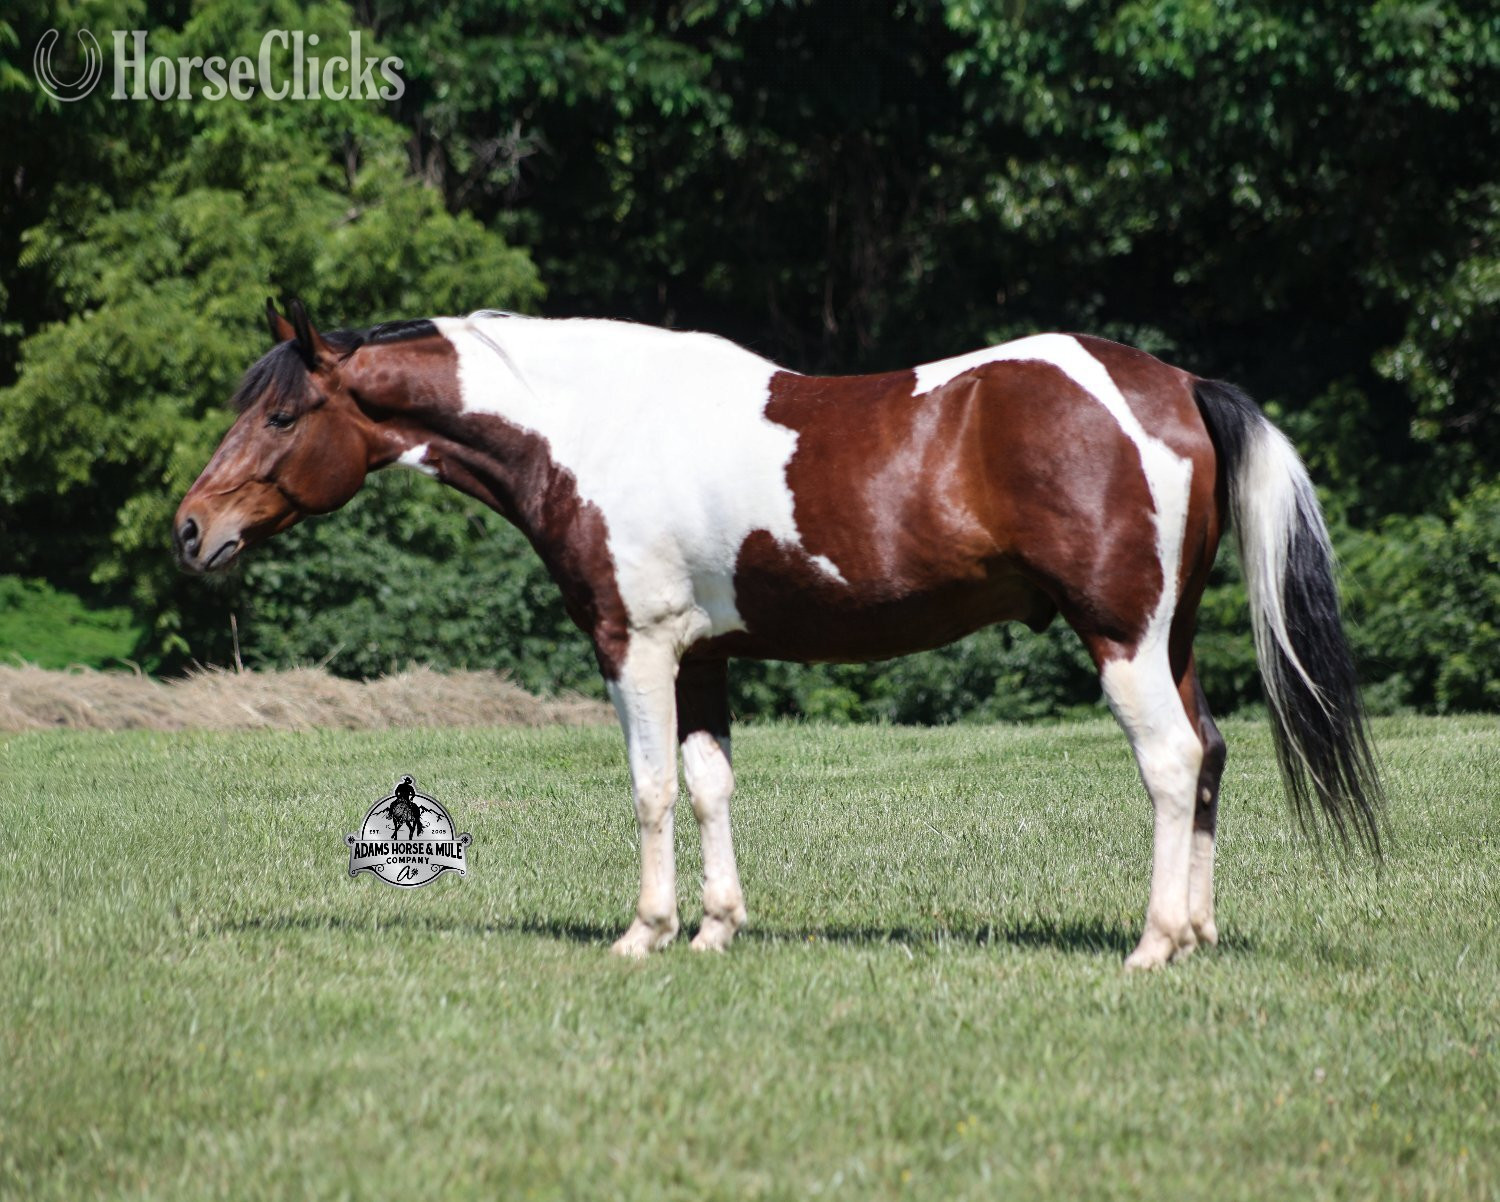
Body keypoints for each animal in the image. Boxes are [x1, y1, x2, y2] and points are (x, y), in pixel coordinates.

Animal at [174, 299, 1382, 968]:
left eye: (283, 414)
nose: (190, 529)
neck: (597, 427)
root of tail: (1174, 383)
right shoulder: (704, 655)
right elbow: (711, 786)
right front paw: (716, 928)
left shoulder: (636, 648)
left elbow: (651, 789)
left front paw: (644, 933)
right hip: (1169, 640)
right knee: (1211, 754)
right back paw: (1200, 932)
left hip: (1123, 639)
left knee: (1172, 763)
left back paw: (1154, 943)